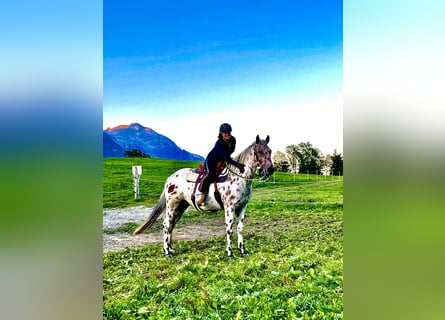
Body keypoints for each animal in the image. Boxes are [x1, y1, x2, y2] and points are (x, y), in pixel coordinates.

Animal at [131, 134, 274, 258]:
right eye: (260, 151)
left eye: (270, 151)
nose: (270, 170)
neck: (238, 177)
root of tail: (170, 178)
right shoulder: (229, 207)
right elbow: (229, 229)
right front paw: (230, 253)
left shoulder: (242, 207)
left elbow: (240, 229)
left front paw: (243, 251)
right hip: (172, 205)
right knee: (166, 224)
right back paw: (167, 252)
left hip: (181, 207)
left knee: (171, 225)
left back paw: (171, 249)